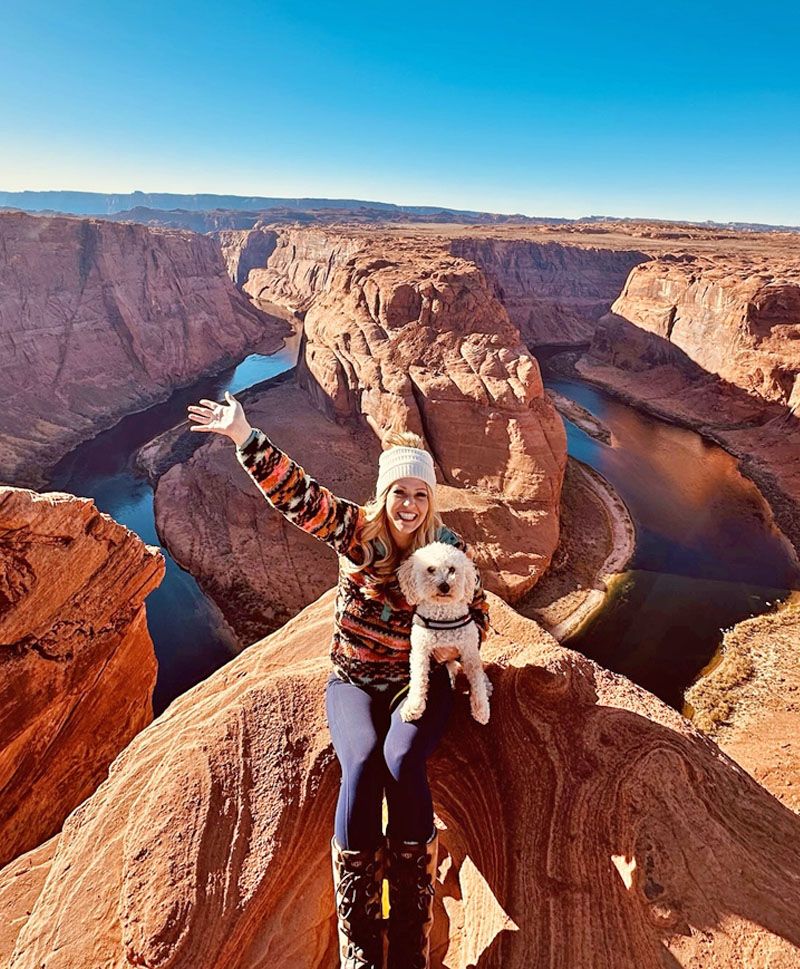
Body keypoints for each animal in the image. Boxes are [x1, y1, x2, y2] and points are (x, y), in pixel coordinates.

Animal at [396, 540, 490, 724]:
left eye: (452, 569)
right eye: (430, 569)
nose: (444, 586)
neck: (443, 618)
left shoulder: (469, 651)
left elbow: (477, 678)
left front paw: (481, 708)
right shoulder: (420, 652)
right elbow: (418, 678)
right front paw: (413, 707)